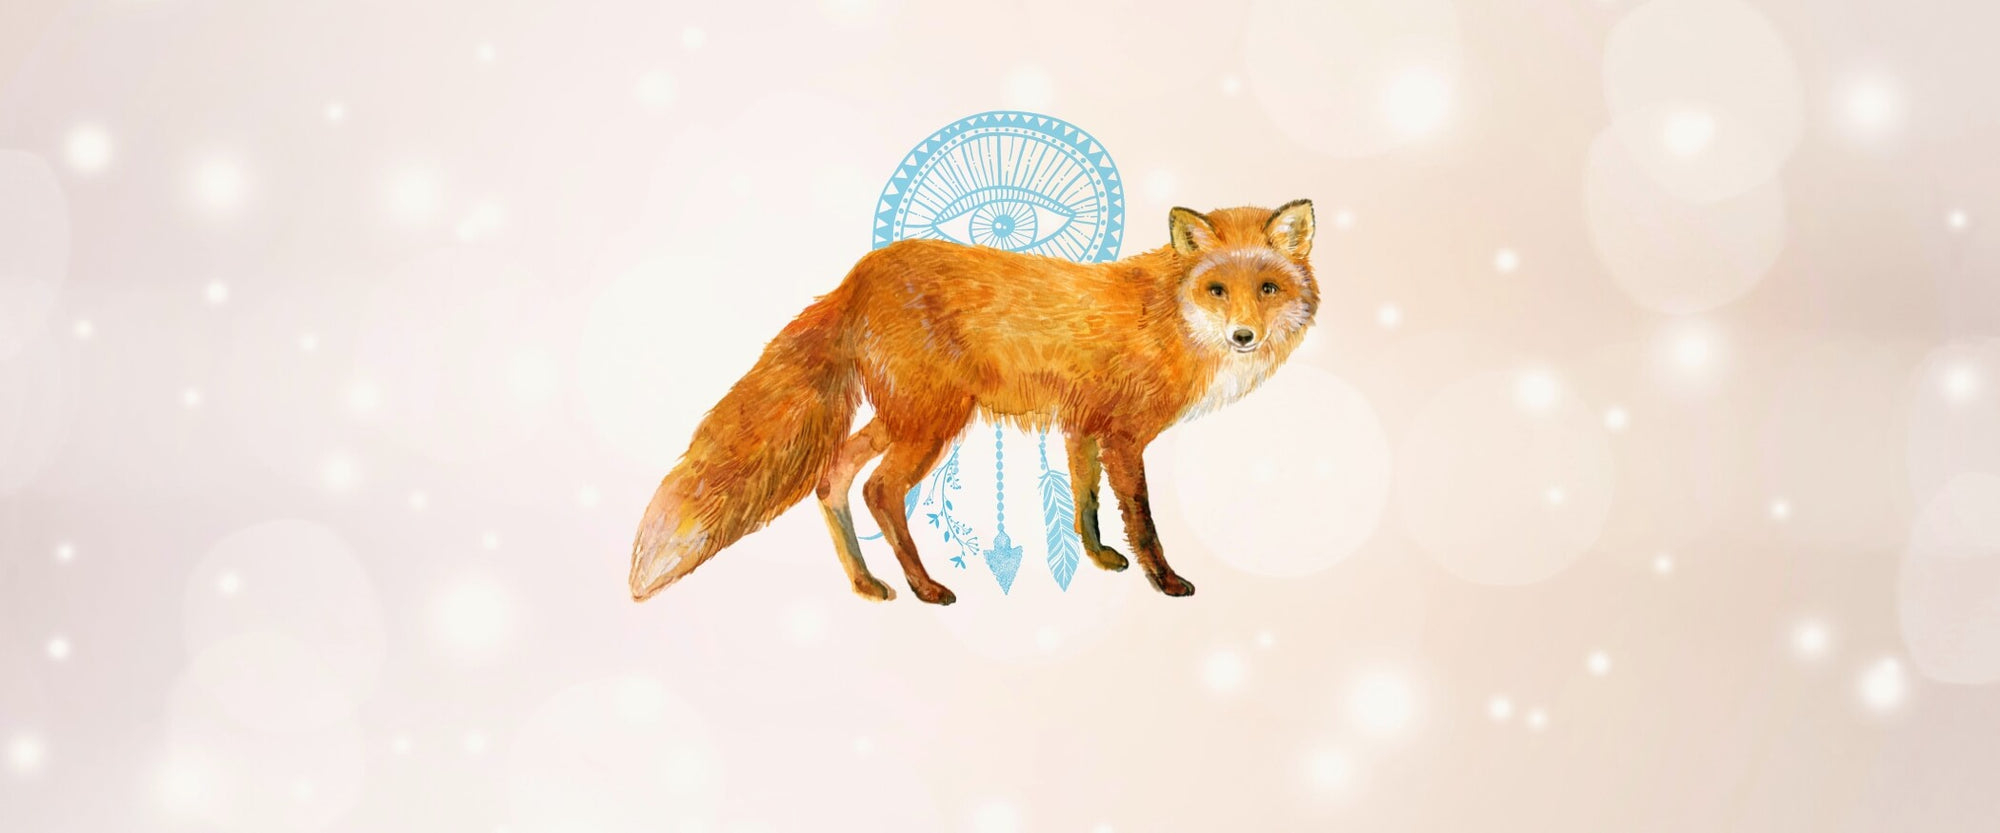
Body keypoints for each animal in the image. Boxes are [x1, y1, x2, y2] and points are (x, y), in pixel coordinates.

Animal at [628, 199, 1319, 605]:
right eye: (1217, 289)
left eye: (1267, 287)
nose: (1245, 336)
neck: (1167, 317)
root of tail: (857, 275)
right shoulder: (1124, 436)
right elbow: (1142, 520)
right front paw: (1166, 581)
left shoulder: (1082, 426)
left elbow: (1085, 500)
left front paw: (1098, 558)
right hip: (932, 422)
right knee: (879, 489)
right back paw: (924, 586)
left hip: (906, 417)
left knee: (833, 477)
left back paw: (867, 583)